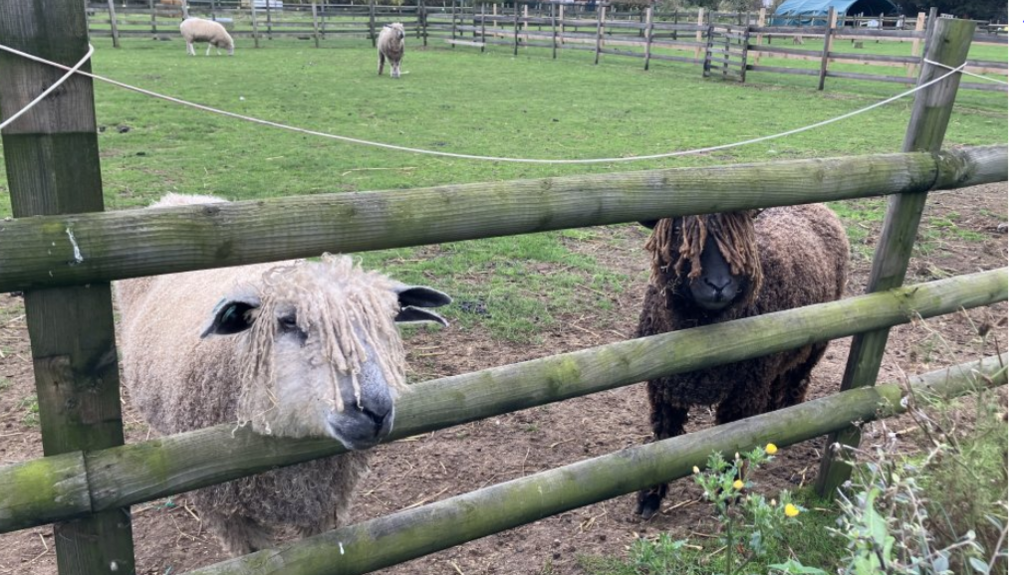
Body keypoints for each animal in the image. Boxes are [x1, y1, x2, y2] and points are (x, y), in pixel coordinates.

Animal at [114, 193, 450, 556]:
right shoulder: (230, 515)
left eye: (387, 321)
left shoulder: (324, 504)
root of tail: (178, 197)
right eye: (288, 321)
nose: (375, 412)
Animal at [630, 203, 847, 517]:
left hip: (815, 342)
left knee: (798, 379)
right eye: (678, 229)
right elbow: (664, 439)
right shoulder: (664, 389)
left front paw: (728, 492)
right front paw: (649, 498)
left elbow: (731, 442)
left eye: (737, 236)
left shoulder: (744, 392)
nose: (718, 285)